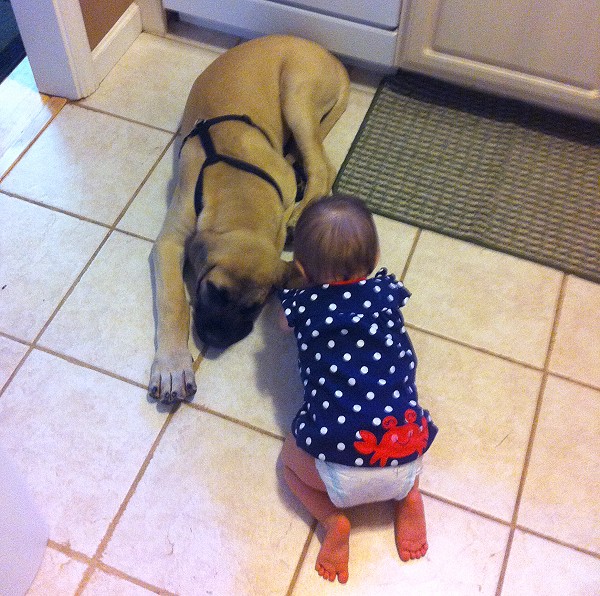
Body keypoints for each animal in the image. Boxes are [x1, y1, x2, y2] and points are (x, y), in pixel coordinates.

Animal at [147, 33, 350, 406]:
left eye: (255, 306)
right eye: (213, 290)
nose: (216, 339)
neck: (239, 186)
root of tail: (330, 57)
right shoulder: (170, 241)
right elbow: (173, 302)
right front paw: (172, 366)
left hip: (296, 93)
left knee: (321, 167)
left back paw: (299, 212)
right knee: (318, 163)